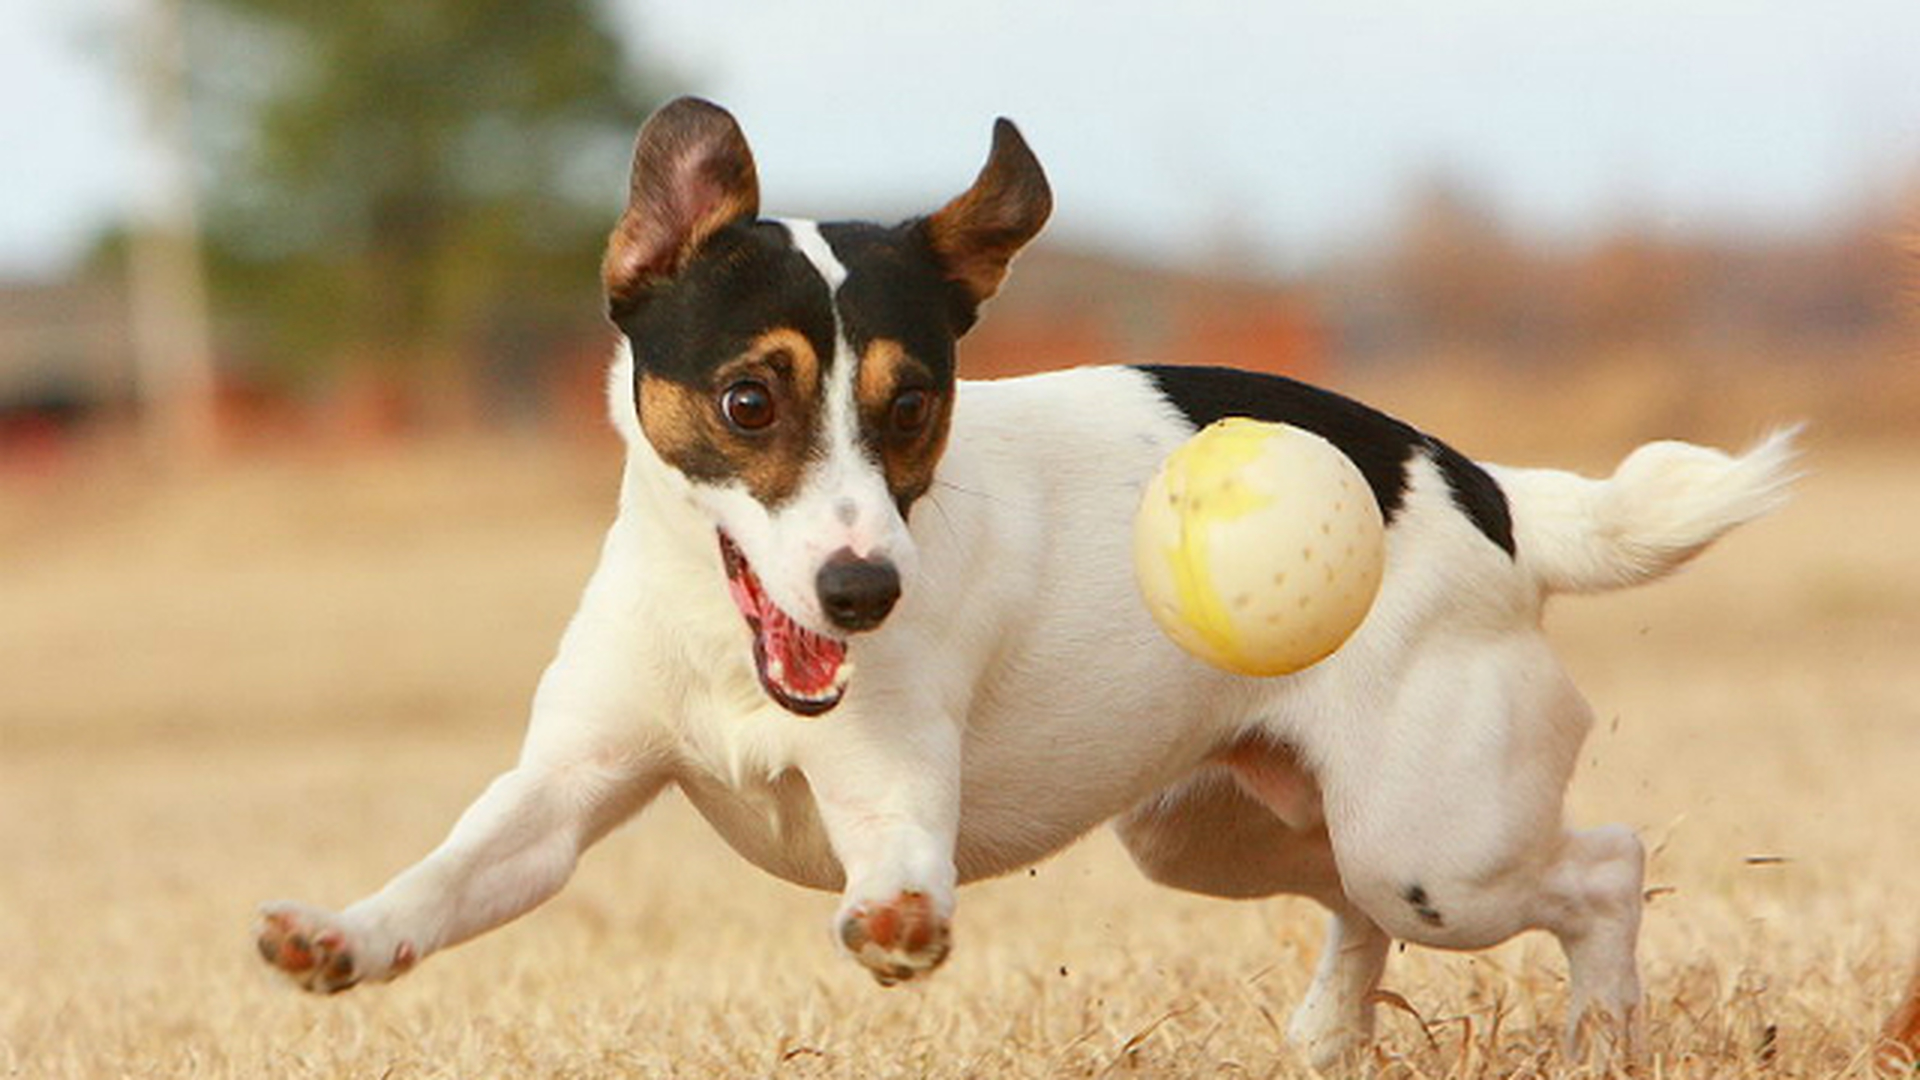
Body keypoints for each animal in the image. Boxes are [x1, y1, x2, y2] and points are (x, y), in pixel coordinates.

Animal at [255, 96, 1797, 1060]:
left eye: (915, 406)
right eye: (751, 401)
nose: (864, 594)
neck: (725, 642)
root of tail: (1486, 489)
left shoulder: (892, 795)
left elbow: (898, 875)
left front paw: (897, 930)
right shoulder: (560, 795)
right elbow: (446, 882)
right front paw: (342, 940)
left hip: (1438, 845)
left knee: (1603, 868)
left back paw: (1602, 1039)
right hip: (1226, 831)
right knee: (1354, 904)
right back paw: (1326, 1040)